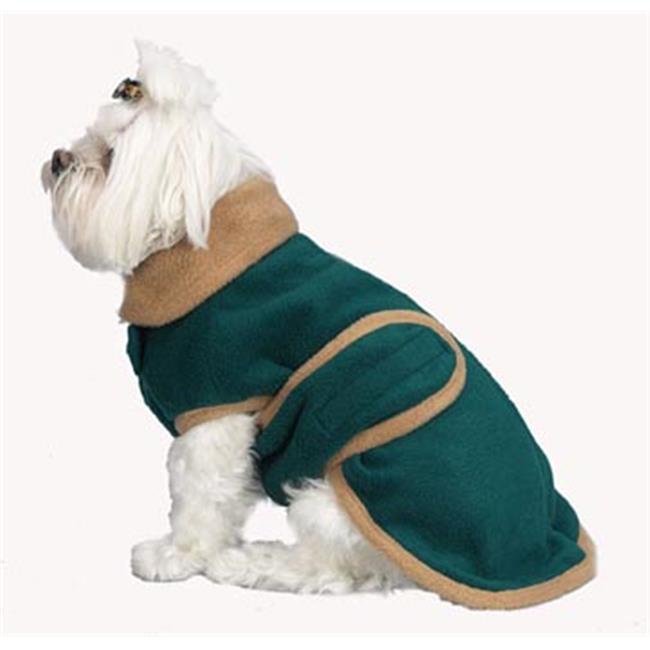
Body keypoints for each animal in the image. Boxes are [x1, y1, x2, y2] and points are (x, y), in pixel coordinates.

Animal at [41, 42, 595, 609]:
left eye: (109, 157)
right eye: (85, 137)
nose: (59, 159)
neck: (204, 247)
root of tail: (531, 542)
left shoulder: (216, 411)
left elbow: (198, 496)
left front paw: (177, 555)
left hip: (346, 493)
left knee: (339, 569)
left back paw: (250, 562)